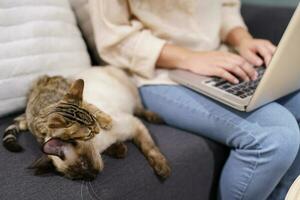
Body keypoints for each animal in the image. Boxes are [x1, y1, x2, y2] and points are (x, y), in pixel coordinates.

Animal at [1, 66, 171, 180]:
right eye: (78, 177)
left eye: (83, 164)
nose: (92, 176)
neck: (100, 144)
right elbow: (120, 148)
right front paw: (120, 149)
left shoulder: (135, 126)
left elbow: (150, 148)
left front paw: (162, 170)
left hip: (133, 97)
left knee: (140, 108)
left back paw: (157, 118)